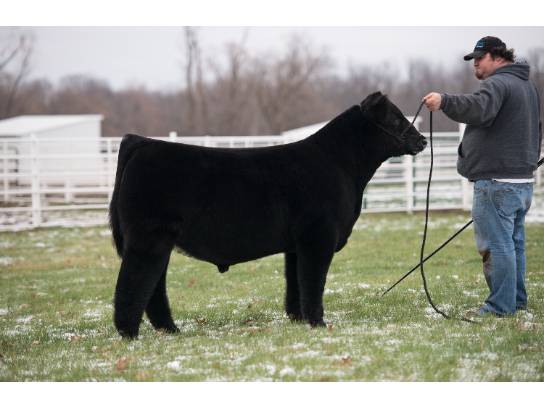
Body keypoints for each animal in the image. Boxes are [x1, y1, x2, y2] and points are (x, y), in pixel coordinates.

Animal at [109, 91, 427, 338]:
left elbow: (296, 283)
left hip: (158, 242)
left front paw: (299, 319)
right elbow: (313, 281)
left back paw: (170, 330)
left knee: (153, 287)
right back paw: (129, 333)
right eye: (395, 119)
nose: (423, 140)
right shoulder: (319, 236)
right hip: (148, 239)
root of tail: (143, 142)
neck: (341, 165)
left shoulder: (297, 245)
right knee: (133, 284)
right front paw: (318, 322)